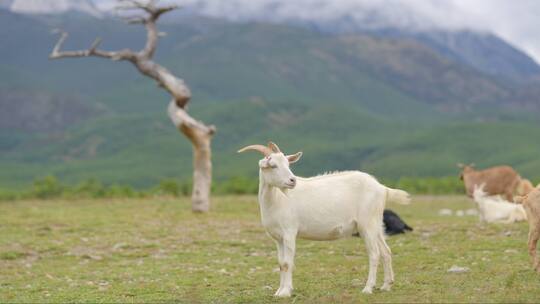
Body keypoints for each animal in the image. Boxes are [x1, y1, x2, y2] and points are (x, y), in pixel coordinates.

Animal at [238, 142, 412, 296]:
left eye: (288, 164)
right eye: (273, 165)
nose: (292, 181)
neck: (277, 200)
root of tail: (382, 188)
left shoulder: (289, 233)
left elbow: (288, 263)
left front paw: (286, 292)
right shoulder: (278, 238)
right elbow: (281, 264)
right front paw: (278, 291)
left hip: (366, 224)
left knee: (374, 254)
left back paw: (368, 288)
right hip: (375, 224)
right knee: (386, 251)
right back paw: (386, 285)